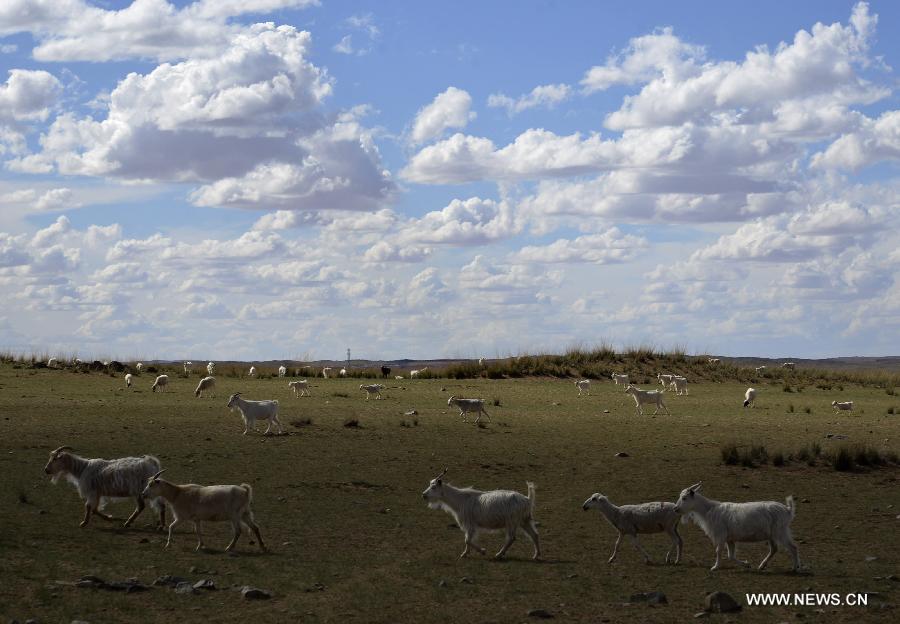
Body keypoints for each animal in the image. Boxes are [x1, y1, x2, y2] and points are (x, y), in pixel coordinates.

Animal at [672, 482, 800, 572]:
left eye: (684, 498)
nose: (675, 509)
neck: (709, 510)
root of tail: (788, 510)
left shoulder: (721, 535)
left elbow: (718, 551)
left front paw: (715, 567)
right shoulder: (730, 539)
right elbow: (731, 556)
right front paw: (747, 564)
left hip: (780, 531)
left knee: (793, 547)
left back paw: (795, 568)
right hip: (772, 534)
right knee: (774, 549)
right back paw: (762, 566)